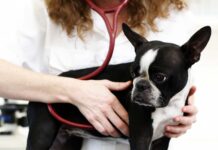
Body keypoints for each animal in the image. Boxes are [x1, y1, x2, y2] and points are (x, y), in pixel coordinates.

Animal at [26, 23, 211, 150]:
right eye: (133, 73)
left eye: (160, 77)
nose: (140, 85)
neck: (169, 104)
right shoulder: (141, 137)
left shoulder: (161, 140)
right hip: (42, 133)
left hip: (66, 140)